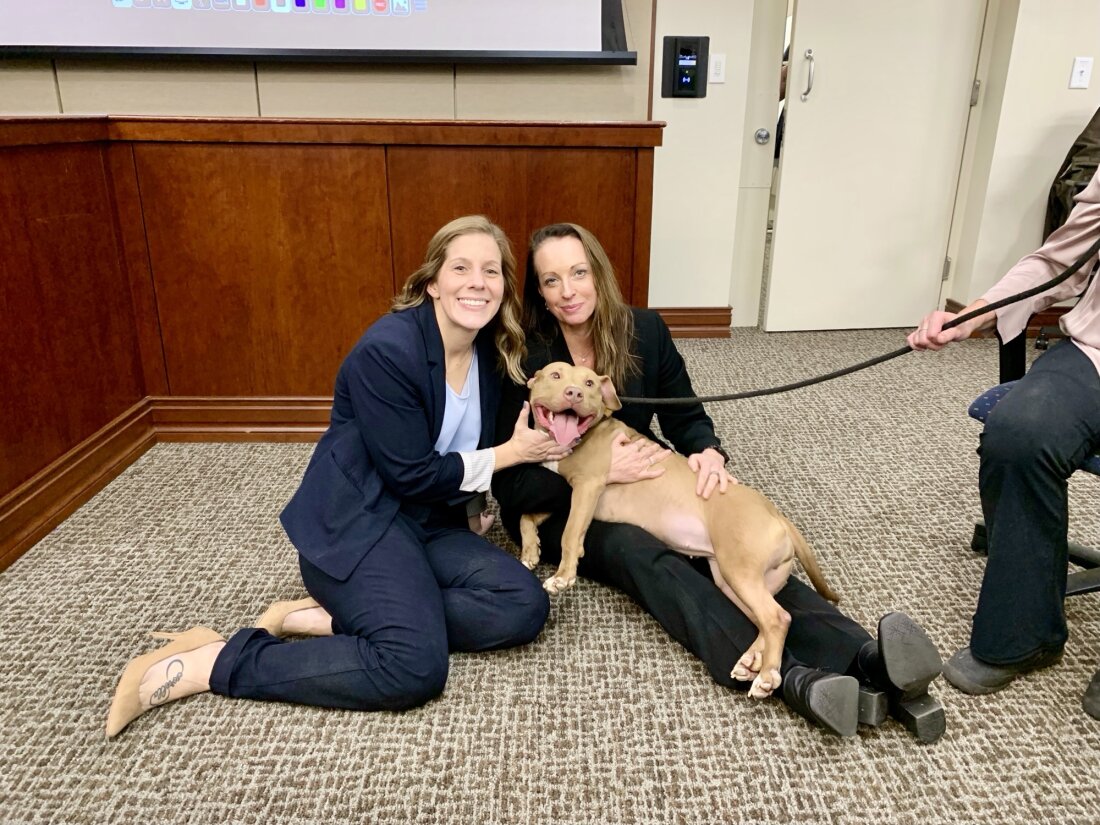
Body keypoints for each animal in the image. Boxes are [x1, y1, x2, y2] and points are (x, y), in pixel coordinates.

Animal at [519, 360, 836, 699]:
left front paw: (563, 576)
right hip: (734, 581)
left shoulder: (587, 489)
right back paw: (750, 661)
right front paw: (530, 550)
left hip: (739, 571)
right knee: (769, 619)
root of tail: (777, 515)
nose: (574, 393)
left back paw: (767, 676)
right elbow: (527, 514)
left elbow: (569, 534)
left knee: (777, 618)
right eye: (555, 375)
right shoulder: (563, 495)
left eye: (590, 383)